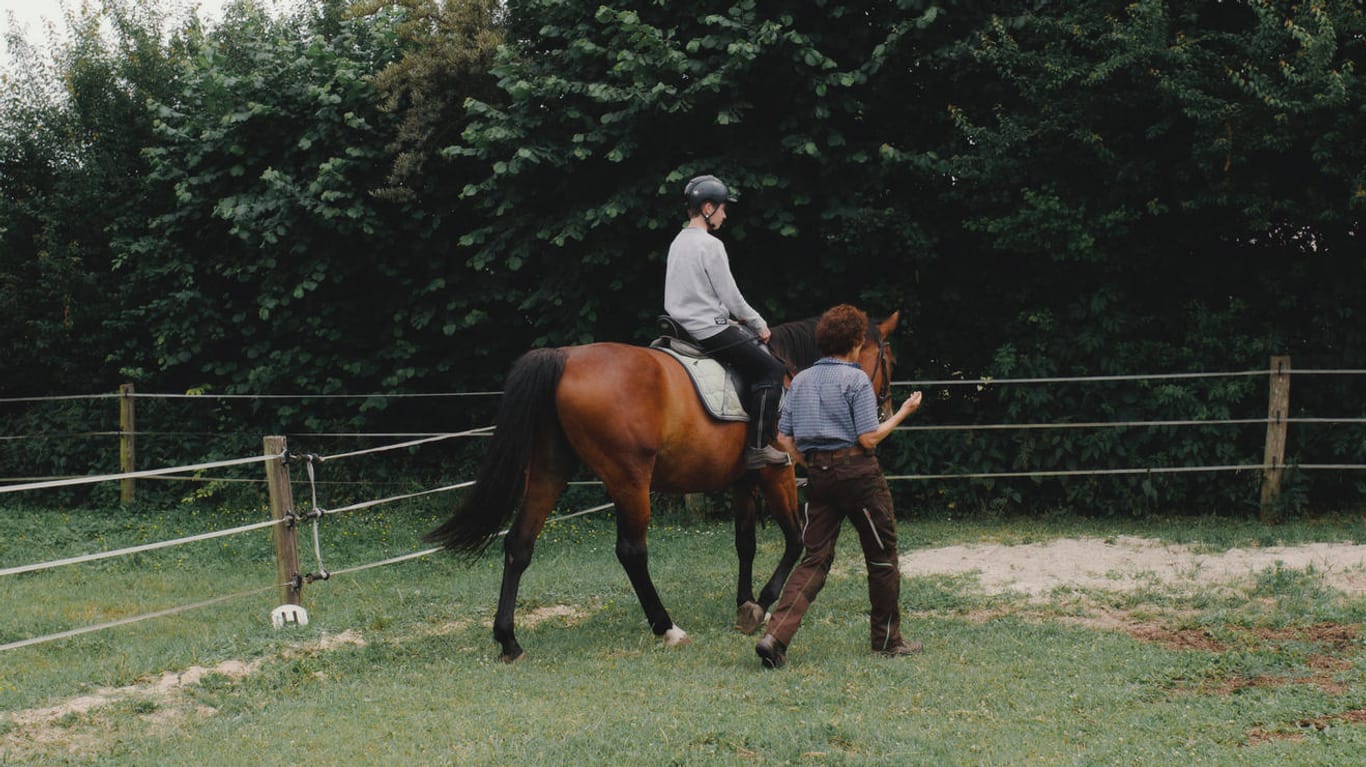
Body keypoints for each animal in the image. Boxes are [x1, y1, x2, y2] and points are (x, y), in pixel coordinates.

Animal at [426, 311, 896, 658]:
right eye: (889, 360)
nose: (883, 411)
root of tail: (565, 357)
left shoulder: (743, 480)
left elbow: (745, 542)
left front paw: (744, 602)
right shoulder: (774, 472)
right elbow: (796, 540)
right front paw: (761, 604)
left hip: (548, 470)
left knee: (520, 544)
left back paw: (508, 639)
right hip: (630, 479)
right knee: (631, 552)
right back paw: (666, 627)